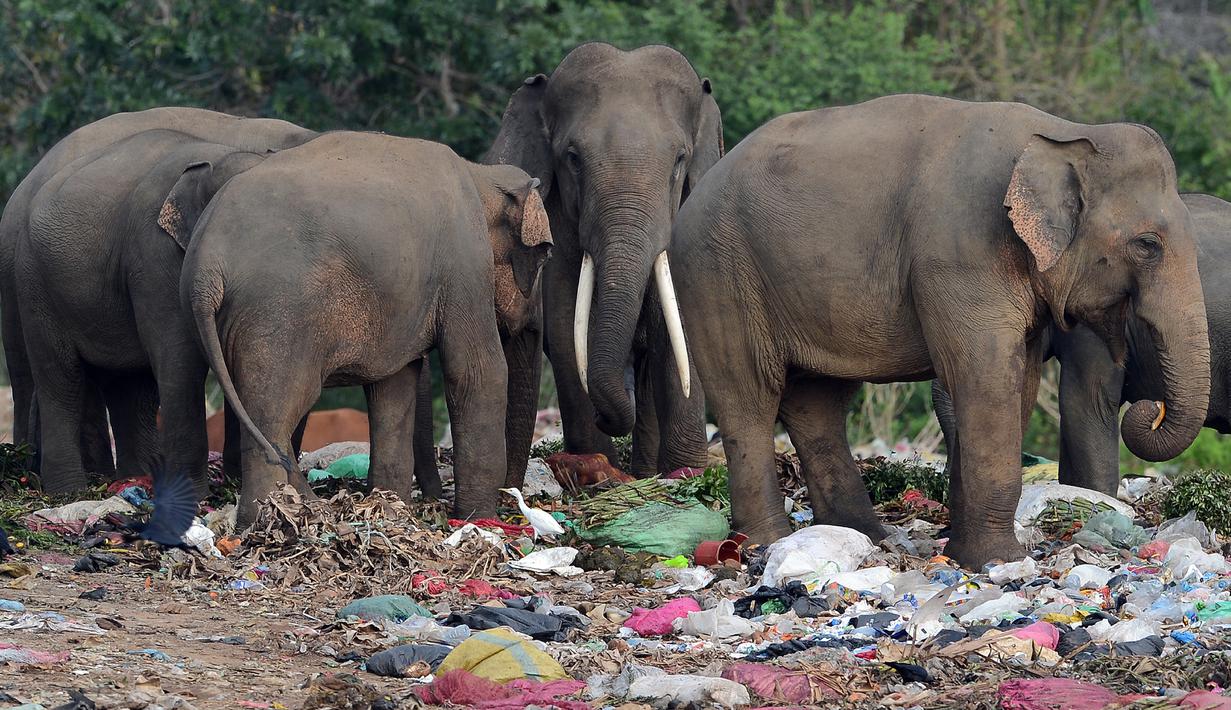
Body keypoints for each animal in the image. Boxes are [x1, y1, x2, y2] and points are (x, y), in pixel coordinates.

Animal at [1, 106, 317, 492]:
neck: (218, 155)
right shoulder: (153, 252)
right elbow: (179, 356)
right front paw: (194, 493)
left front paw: (231, 483)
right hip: (32, 280)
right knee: (59, 378)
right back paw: (70, 487)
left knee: (127, 384)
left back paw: (133, 477)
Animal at [179, 131, 551, 526]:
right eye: (545, 255)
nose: (514, 501)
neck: (480, 174)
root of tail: (205, 268)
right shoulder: (465, 261)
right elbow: (478, 371)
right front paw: (476, 518)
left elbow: (395, 385)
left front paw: (391, 506)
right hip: (275, 315)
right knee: (277, 410)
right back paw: (270, 516)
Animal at [485, 44, 718, 477]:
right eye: (573, 157)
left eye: (680, 159)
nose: (604, 415)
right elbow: (564, 327)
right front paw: (597, 464)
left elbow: (677, 329)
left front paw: (687, 472)